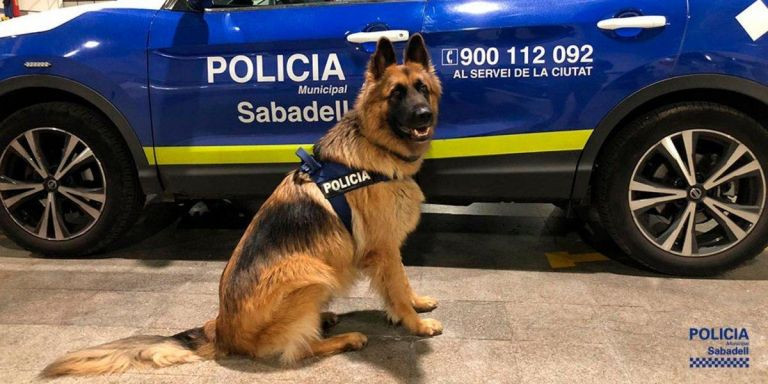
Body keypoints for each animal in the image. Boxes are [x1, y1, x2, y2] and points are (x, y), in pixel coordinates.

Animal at [42, 36, 444, 378]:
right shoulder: (382, 249)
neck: (374, 145)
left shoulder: (388, 249)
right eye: (396, 94)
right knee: (300, 349)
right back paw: (345, 338)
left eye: (422, 88)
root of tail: (221, 330)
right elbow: (397, 287)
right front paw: (415, 323)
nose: (424, 115)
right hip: (312, 271)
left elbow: (404, 282)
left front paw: (417, 303)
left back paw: (325, 319)